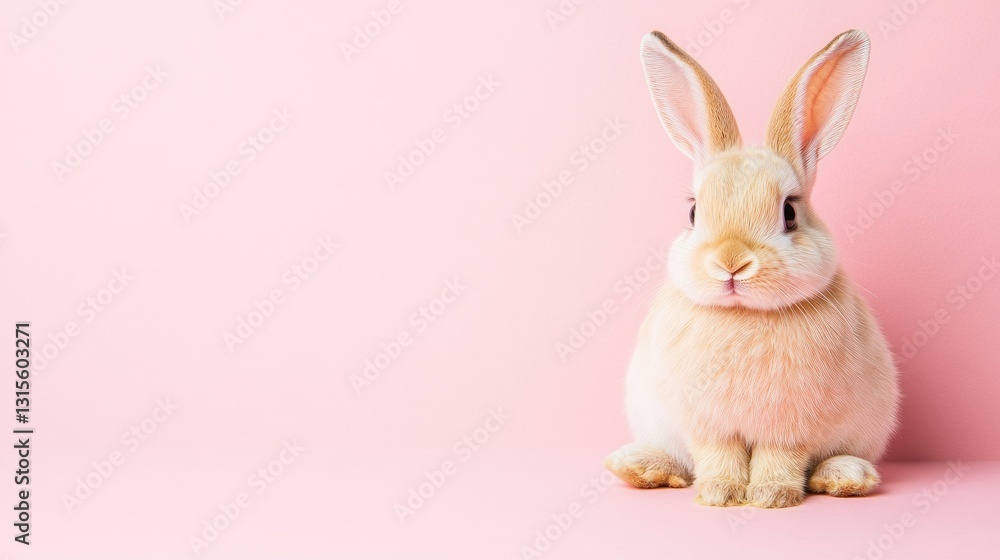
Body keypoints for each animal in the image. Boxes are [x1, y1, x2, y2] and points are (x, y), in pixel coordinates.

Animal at [604, 29, 900, 508]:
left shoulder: (790, 429)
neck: (744, 315)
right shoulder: (708, 426)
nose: (731, 263)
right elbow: (717, 455)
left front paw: (771, 496)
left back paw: (845, 476)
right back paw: (640, 466)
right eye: (692, 213)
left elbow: (780, 458)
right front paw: (720, 493)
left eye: (790, 213)